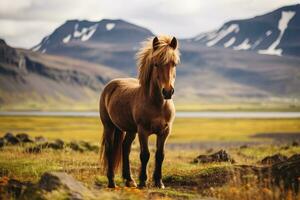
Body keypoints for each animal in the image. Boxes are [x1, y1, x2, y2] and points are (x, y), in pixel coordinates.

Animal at [99, 35, 180, 188]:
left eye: (174, 64)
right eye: (156, 64)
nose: (167, 92)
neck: (157, 104)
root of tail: (111, 85)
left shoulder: (165, 131)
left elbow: (160, 155)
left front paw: (159, 182)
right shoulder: (143, 131)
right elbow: (145, 155)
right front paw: (143, 181)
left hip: (130, 130)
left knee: (125, 147)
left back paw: (129, 180)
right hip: (109, 126)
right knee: (110, 149)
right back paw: (112, 181)